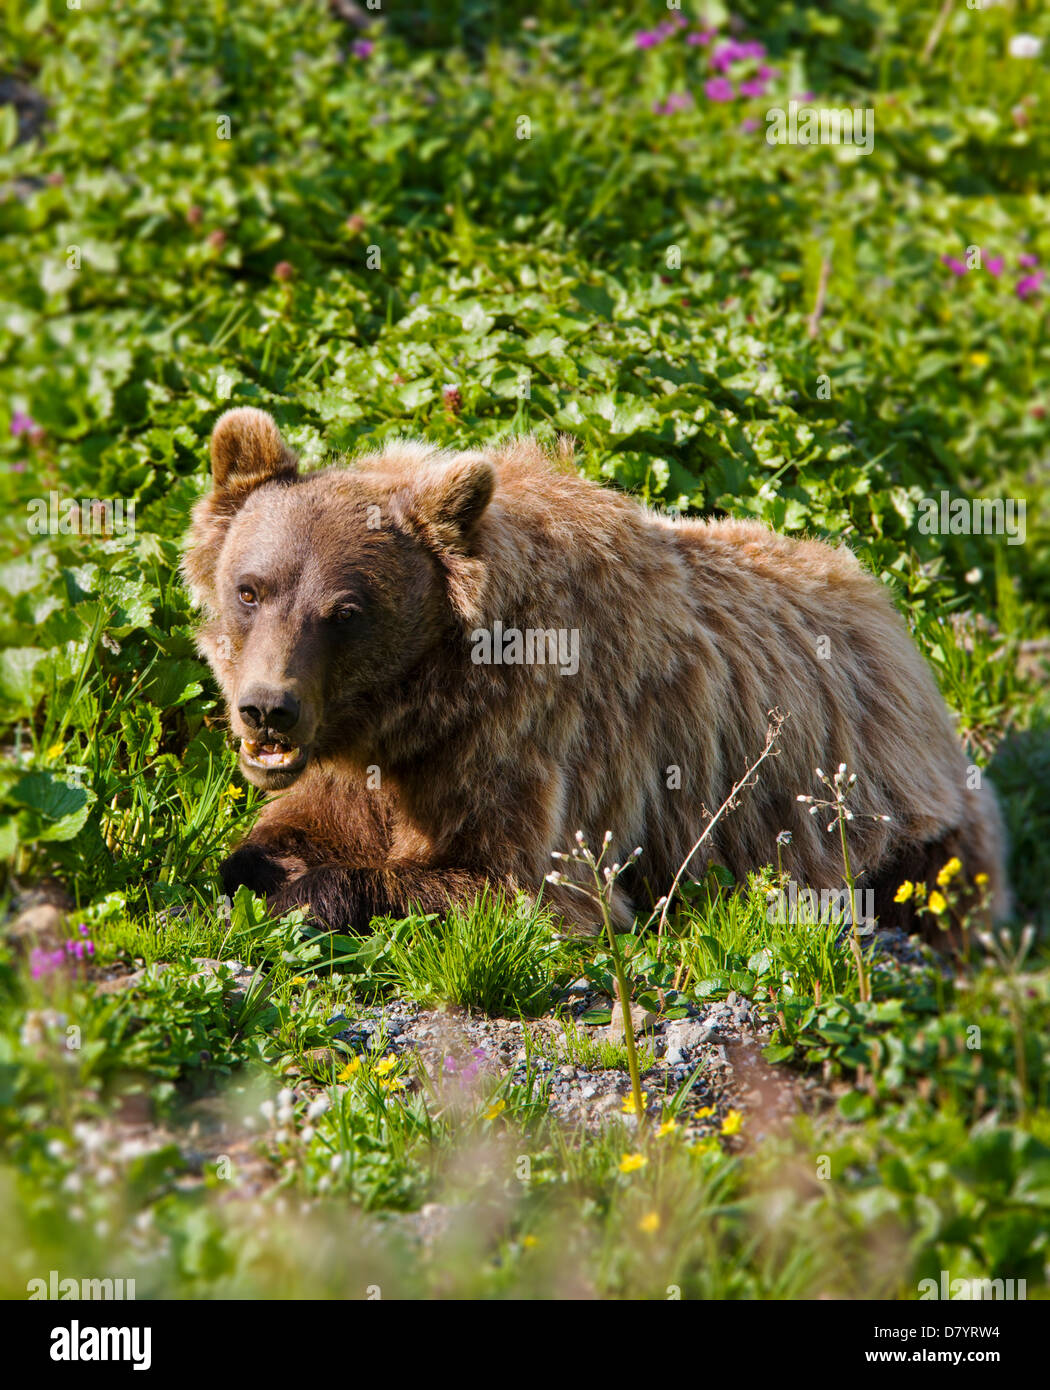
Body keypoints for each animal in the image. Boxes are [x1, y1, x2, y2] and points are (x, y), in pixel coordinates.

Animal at [180, 405, 1012, 939]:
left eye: (345, 610)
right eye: (251, 588)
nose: (268, 709)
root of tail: (884, 605)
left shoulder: (529, 743)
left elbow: (525, 885)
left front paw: (308, 895)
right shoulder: (360, 764)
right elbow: (286, 830)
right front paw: (256, 868)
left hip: (892, 813)